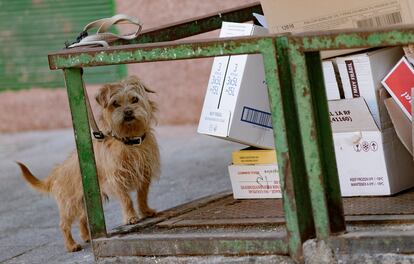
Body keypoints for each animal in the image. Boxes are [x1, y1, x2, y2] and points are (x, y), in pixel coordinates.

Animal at [16, 76, 158, 252]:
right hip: (70, 204)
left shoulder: (144, 174)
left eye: (135, 99)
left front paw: (145, 211)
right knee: (64, 224)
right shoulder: (116, 179)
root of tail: (57, 172)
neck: (129, 141)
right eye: (115, 103)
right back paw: (71, 245)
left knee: (82, 219)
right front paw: (131, 217)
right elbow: (127, 200)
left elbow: (142, 196)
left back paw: (86, 237)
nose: (128, 111)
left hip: (87, 200)